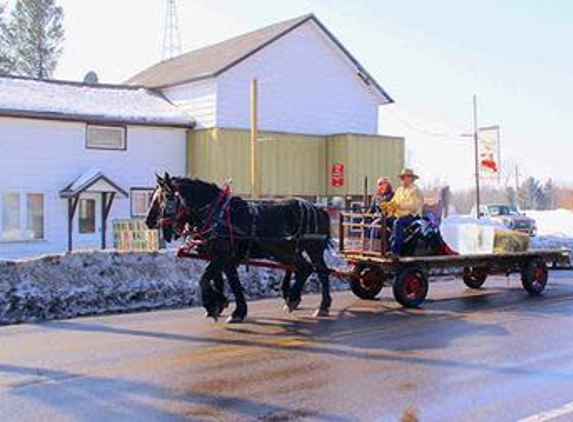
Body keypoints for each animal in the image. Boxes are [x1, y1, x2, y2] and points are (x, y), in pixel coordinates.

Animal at [145, 173, 332, 322]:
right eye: (153, 196)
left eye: (165, 197)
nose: (148, 221)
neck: (216, 215)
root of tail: (318, 209)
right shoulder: (224, 258)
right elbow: (229, 281)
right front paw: (230, 307)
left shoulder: (223, 255)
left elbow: (205, 279)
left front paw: (213, 305)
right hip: (286, 252)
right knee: (303, 268)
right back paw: (297, 299)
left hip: (311, 249)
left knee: (317, 271)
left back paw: (314, 304)